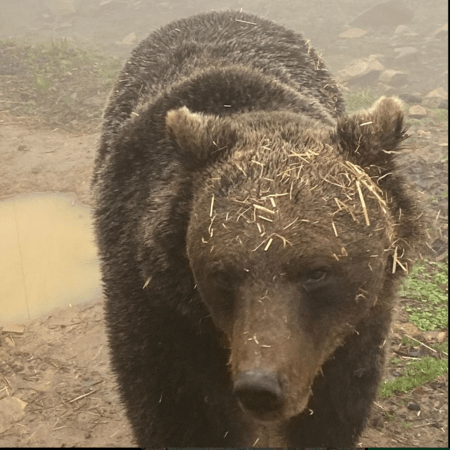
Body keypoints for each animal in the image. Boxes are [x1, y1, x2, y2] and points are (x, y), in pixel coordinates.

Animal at [90, 9, 422, 446]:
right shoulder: (157, 307)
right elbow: (173, 412)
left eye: (317, 271)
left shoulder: (356, 331)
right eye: (222, 272)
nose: (260, 388)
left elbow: (334, 413)